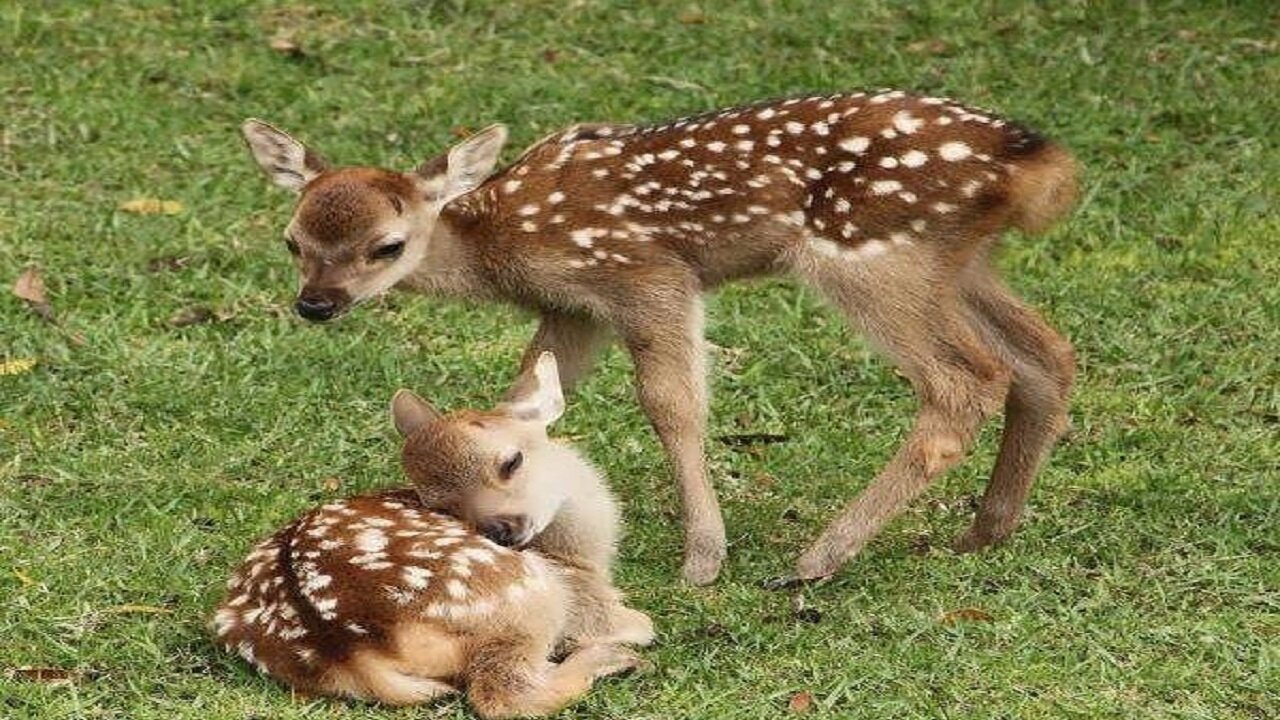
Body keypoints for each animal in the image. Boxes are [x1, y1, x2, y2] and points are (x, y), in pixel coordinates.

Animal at [213, 351, 655, 712]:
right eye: (444, 507)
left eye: (511, 461)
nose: (501, 530)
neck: (582, 556)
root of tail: (346, 649)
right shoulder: (583, 600)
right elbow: (631, 622)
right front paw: (634, 629)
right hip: (528, 595)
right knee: (502, 693)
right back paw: (615, 658)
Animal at [241, 88, 1080, 584]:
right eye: (292, 240)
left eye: (385, 246)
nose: (316, 304)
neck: (506, 239)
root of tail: (1038, 163)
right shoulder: (573, 308)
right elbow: (530, 389)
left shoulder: (647, 275)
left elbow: (671, 405)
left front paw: (702, 561)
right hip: (959, 262)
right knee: (1046, 354)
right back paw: (984, 532)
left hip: (873, 259)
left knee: (967, 380)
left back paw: (816, 559)